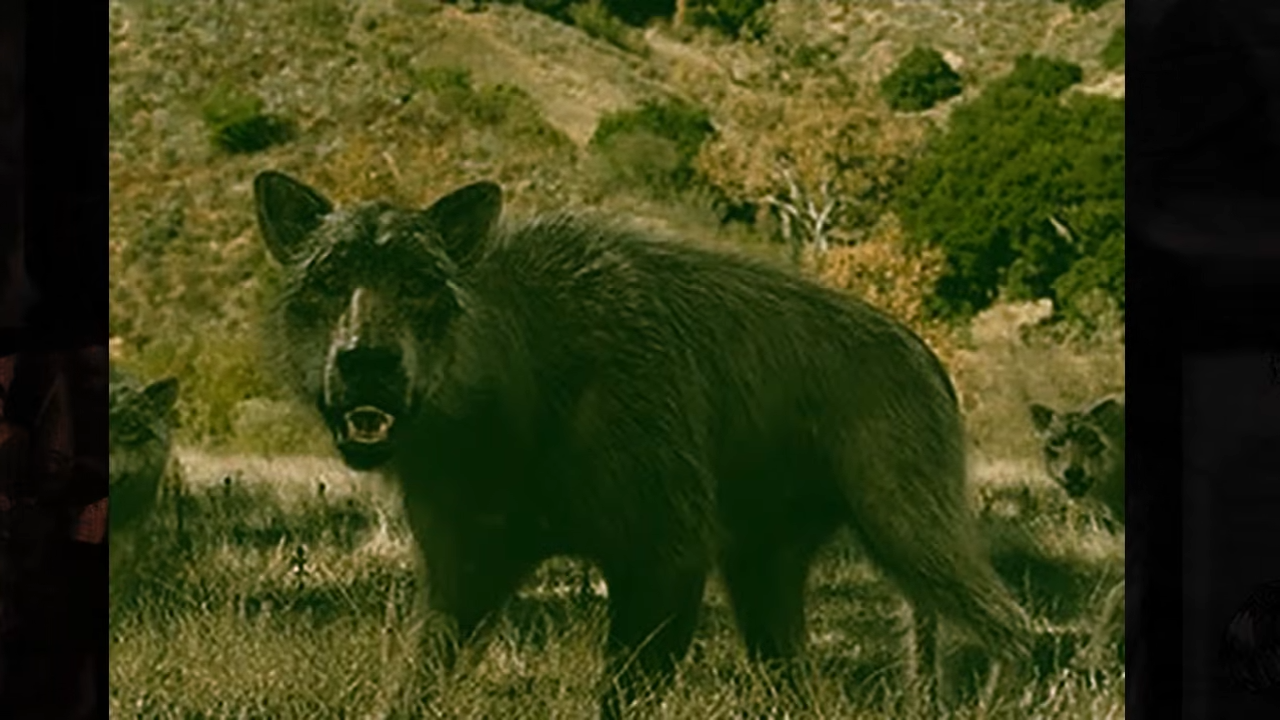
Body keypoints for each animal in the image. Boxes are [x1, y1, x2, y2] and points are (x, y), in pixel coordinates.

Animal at [254, 171, 1034, 718]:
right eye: (329, 279)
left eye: (419, 283)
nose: (367, 362)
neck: (508, 393)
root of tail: (923, 351)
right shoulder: (462, 580)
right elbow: (407, 691)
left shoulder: (663, 563)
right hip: (767, 585)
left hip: (905, 530)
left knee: (1013, 628)